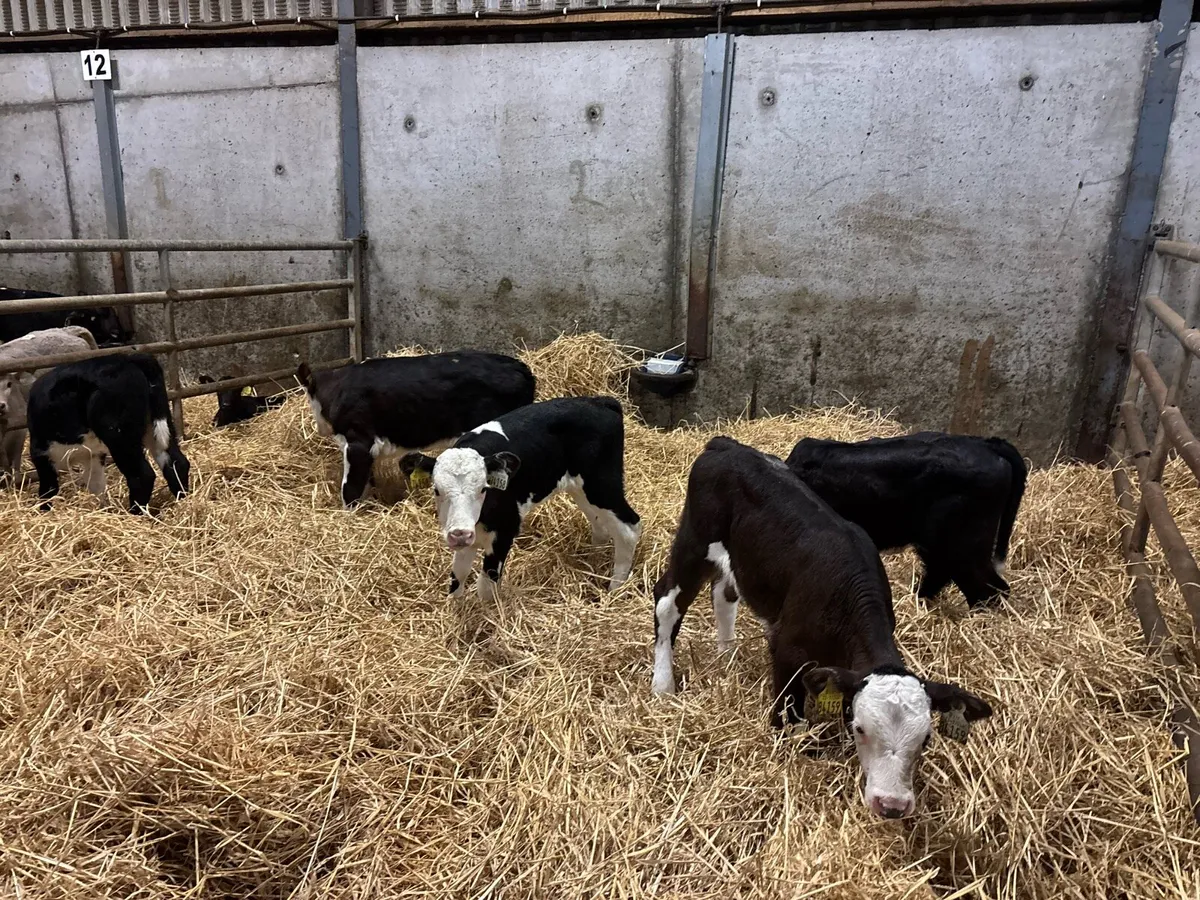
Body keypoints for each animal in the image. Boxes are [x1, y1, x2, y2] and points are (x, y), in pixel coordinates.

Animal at [27, 354, 190, 514]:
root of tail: (129, 358)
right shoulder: (93, 454)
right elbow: (97, 485)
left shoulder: (42, 454)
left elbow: (48, 490)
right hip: (159, 424)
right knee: (176, 462)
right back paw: (182, 500)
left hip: (120, 437)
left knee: (142, 475)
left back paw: (134, 513)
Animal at [400, 396, 641, 603]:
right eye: (437, 490)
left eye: (483, 489)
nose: (460, 533)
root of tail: (600, 401)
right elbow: (458, 575)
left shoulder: (505, 530)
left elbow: (485, 586)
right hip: (582, 489)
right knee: (600, 523)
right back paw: (592, 561)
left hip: (601, 483)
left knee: (629, 527)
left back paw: (615, 589)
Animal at [651, 437, 991, 818]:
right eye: (860, 728)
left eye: (926, 739)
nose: (891, 805)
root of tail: (726, 445)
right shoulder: (786, 649)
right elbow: (788, 716)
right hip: (694, 541)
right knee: (666, 601)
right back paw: (662, 684)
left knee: (724, 594)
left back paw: (727, 658)